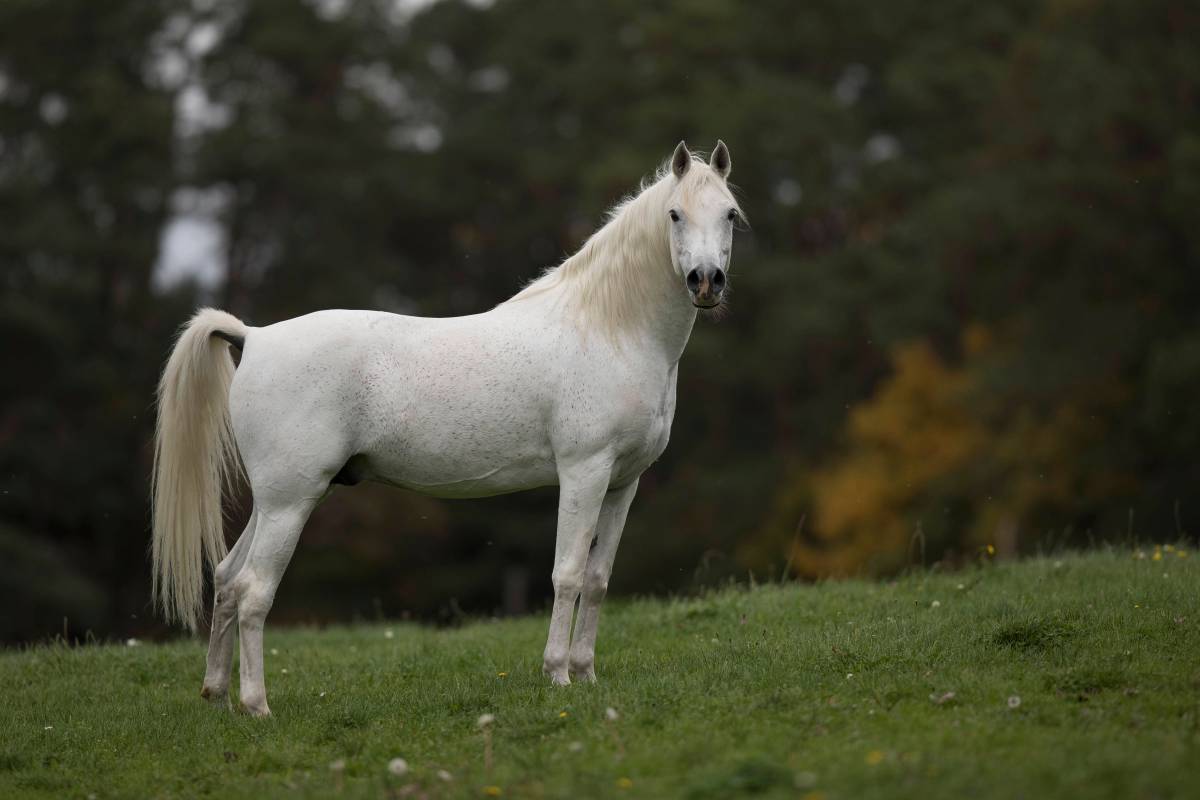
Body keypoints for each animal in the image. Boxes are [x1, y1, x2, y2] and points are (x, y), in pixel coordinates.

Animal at [152, 140, 743, 716]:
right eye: (674, 214)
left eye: (730, 214)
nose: (705, 281)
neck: (607, 328)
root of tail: (253, 336)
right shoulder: (585, 473)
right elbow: (568, 574)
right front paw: (558, 676)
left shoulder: (623, 483)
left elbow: (597, 581)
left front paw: (586, 674)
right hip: (290, 502)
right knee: (254, 591)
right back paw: (257, 706)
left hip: (276, 501)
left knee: (227, 580)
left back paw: (217, 694)